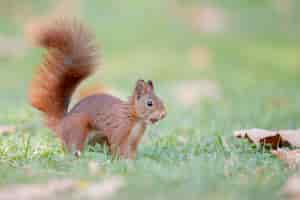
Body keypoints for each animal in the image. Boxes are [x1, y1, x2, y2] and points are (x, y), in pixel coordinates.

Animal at [27, 19, 166, 159]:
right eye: (149, 103)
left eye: (162, 100)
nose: (164, 114)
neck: (136, 119)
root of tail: (62, 124)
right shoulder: (119, 130)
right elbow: (118, 147)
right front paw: (122, 160)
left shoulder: (134, 140)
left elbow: (131, 152)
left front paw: (133, 161)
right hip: (78, 130)